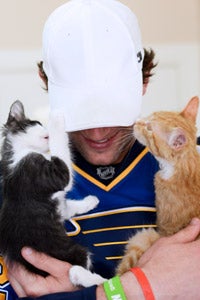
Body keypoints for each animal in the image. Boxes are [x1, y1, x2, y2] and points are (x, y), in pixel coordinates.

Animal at [0, 100, 106, 286]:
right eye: (37, 124)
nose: (46, 130)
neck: (16, 155)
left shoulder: (58, 206)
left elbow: (69, 206)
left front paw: (89, 201)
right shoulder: (45, 174)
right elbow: (62, 155)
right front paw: (56, 118)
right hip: (70, 251)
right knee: (81, 267)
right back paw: (89, 277)